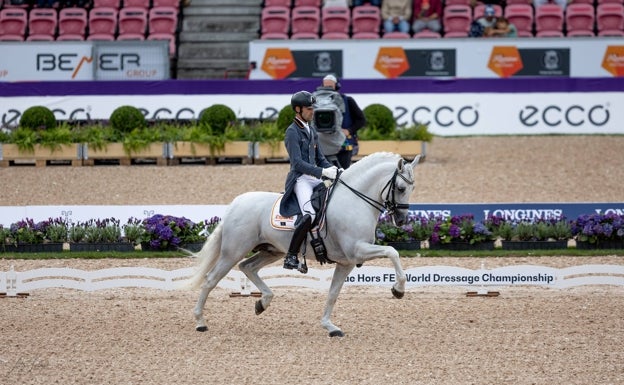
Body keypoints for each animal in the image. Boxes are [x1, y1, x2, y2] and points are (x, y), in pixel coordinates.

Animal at [184, 152, 420, 338]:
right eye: (400, 188)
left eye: (411, 188)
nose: (401, 220)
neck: (354, 201)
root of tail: (235, 203)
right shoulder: (357, 251)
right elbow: (392, 251)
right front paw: (398, 289)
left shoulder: (347, 262)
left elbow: (333, 293)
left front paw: (330, 327)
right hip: (233, 252)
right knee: (211, 279)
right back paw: (200, 322)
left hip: (272, 251)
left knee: (247, 267)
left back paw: (262, 303)